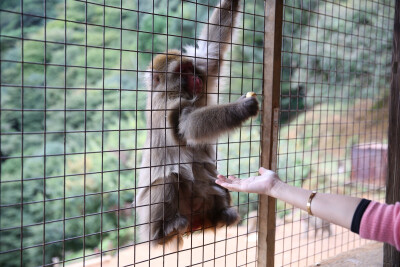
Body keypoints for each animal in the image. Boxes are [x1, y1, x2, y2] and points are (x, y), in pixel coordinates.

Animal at [134, 0, 260, 248]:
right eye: (182, 72)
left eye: (191, 69)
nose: (195, 78)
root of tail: (195, 222)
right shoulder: (168, 106)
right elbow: (187, 125)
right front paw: (242, 108)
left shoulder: (204, 73)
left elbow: (211, 53)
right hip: (150, 216)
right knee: (167, 180)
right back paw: (164, 232)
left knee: (215, 184)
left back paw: (223, 215)